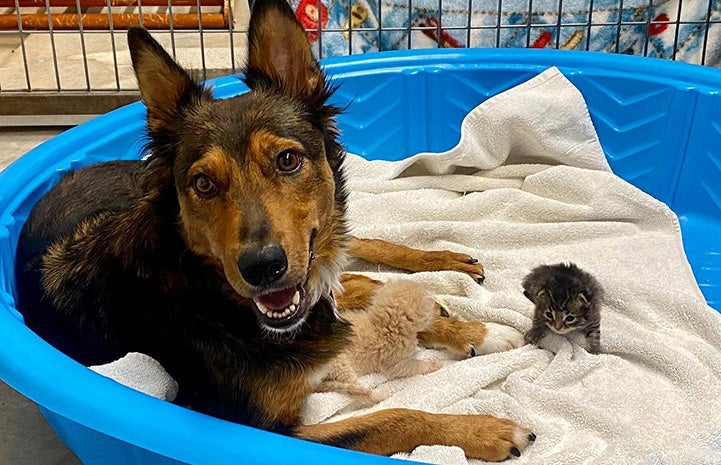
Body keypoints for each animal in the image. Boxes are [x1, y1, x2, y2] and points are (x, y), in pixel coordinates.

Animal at [14, 0, 536, 458]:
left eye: (287, 160)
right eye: (203, 184)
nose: (263, 267)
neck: (209, 292)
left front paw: (473, 330)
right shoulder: (258, 425)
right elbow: (390, 419)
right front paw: (486, 431)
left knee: (356, 253)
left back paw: (448, 272)